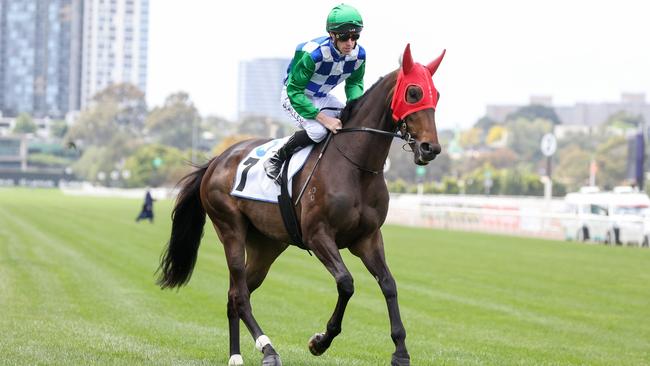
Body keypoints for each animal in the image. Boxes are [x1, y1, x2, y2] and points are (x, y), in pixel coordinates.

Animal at [158, 44, 442, 364]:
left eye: (436, 94)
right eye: (413, 93)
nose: (430, 148)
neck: (355, 167)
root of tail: (216, 160)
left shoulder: (368, 238)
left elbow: (389, 284)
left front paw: (401, 351)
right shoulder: (318, 235)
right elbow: (346, 282)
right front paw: (320, 341)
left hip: (267, 244)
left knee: (235, 294)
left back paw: (236, 356)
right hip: (230, 228)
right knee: (241, 295)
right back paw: (268, 349)